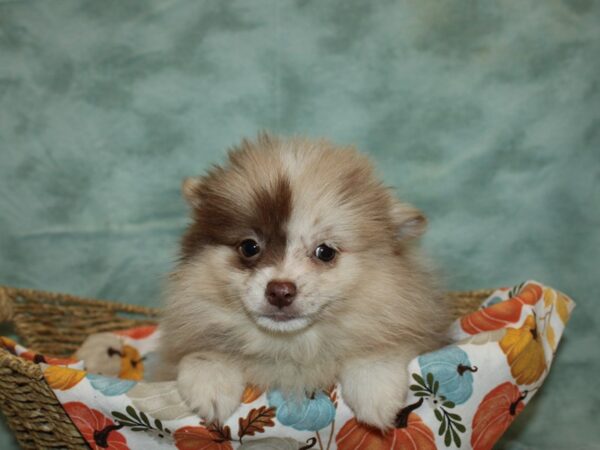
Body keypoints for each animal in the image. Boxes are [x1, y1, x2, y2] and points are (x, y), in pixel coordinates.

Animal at [157, 135, 448, 430]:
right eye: (249, 247)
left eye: (325, 251)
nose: (280, 291)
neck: (292, 347)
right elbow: (202, 354)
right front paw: (210, 382)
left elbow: (379, 351)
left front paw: (376, 392)